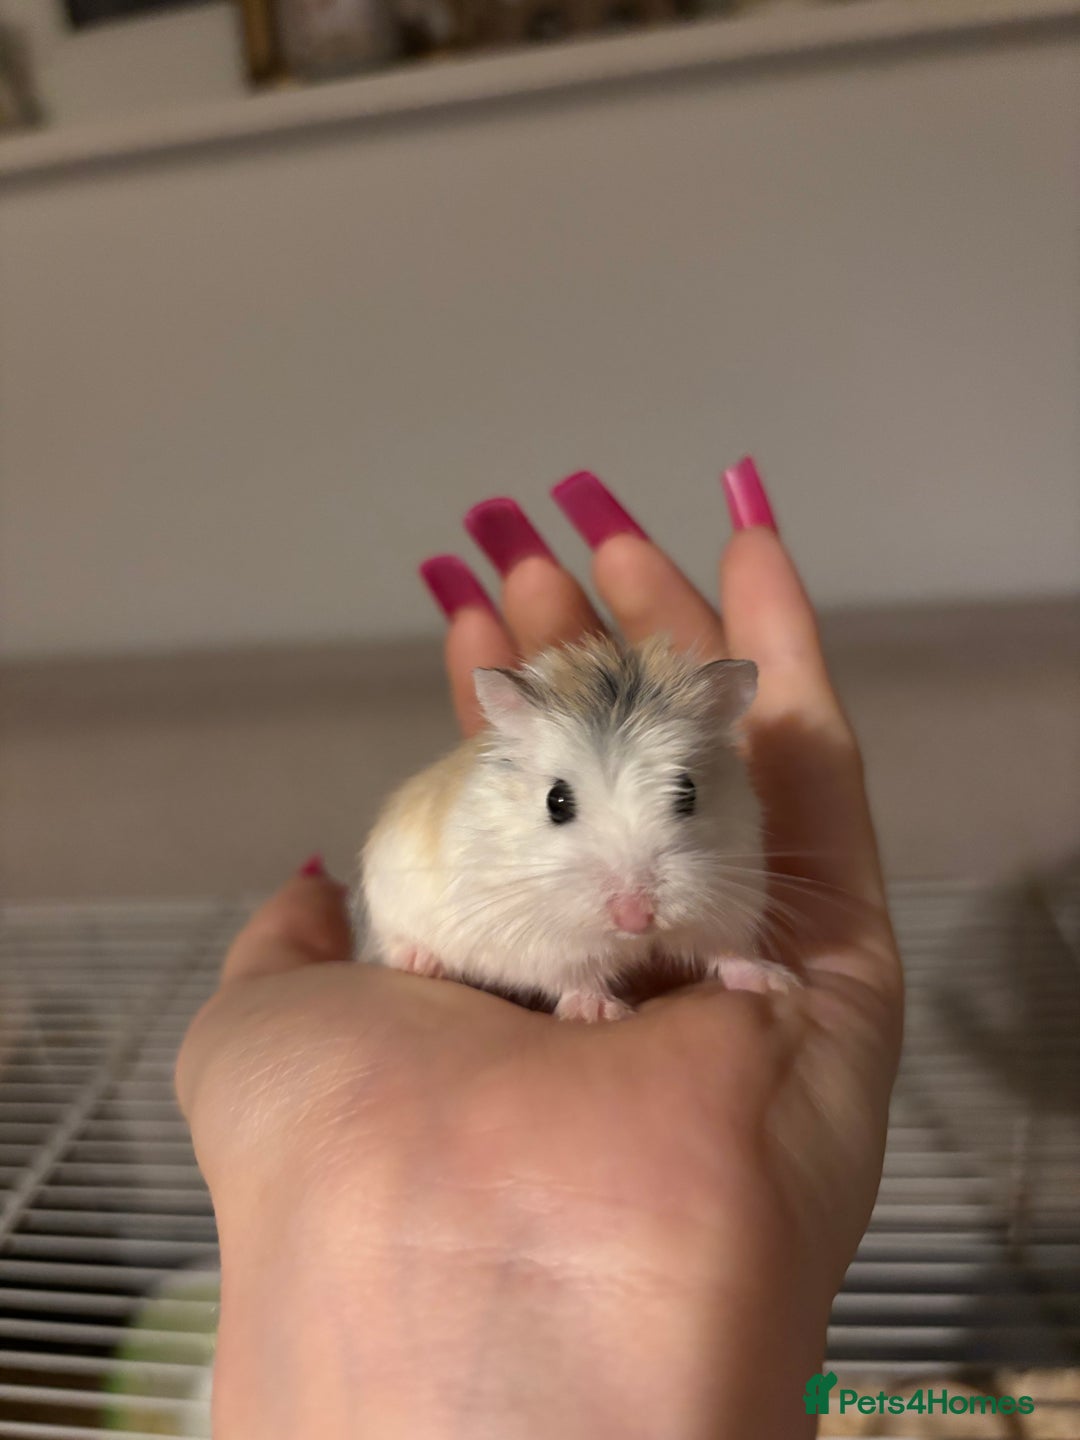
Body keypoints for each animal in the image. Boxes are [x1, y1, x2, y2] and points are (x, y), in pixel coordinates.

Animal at [359, 634, 794, 1021]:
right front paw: (599, 1012)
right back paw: (420, 960)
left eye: (688, 792)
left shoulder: (730, 899)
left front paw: (777, 982)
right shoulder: (539, 943)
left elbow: (729, 951)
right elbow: (573, 976)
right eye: (556, 801)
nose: (635, 918)